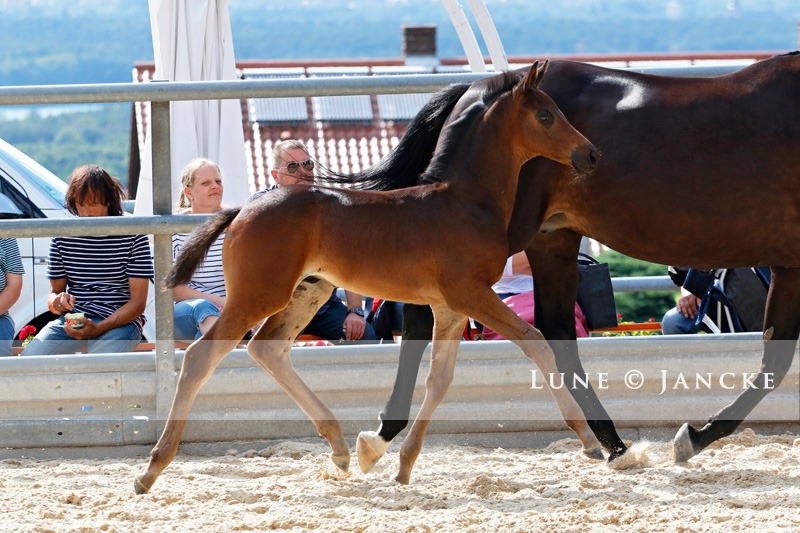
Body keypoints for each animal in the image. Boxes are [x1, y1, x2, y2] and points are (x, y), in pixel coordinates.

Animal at [136, 63, 600, 494]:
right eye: (545, 115)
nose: (592, 154)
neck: (465, 202)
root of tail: (241, 211)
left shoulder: (448, 307)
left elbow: (440, 379)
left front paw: (402, 465)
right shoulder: (471, 294)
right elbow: (536, 342)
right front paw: (590, 441)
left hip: (309, 291)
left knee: (268, 349)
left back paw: (340, 448)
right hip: (258, 295)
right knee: (201, 357)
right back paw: (151, 469)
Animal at [354, 51, 800, 474]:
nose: (591, 155)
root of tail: (475, 88)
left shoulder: (789, 265)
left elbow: (775, 359)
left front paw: (694, 435)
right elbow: (776, 362)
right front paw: (693, 437)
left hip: (551, 240)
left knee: (554, 331)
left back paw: (610, 444)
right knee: (423, 316)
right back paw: (382, 436)